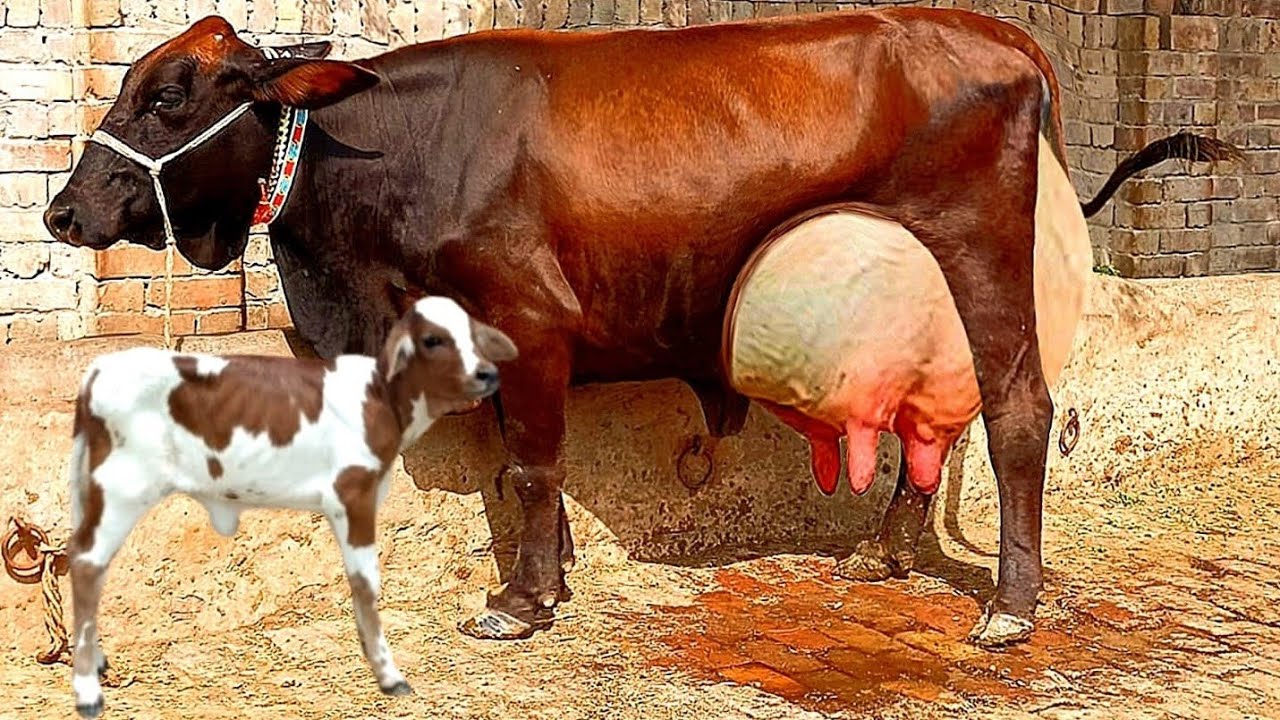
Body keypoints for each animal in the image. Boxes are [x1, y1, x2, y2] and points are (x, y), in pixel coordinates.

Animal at [43, 11, 1238, 648]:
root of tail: (984, 29)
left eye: (173, 93)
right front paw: (553, 576)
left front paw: (523, 603)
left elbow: (530, 464)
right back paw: (887, 553)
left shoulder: (525, 325)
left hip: (981, 259)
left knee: (1018, 410)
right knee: (926, 411)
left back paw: (1009, 606)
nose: (63, 212)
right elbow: (510, 471)